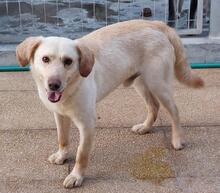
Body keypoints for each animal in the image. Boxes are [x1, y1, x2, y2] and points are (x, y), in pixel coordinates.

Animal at [15, 19, 205, 188]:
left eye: (68, 61)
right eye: (45, 59)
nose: (53, 84)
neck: (71, 87)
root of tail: (155, 24)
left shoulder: (87, 123)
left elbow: (81, 154)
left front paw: (76, 176)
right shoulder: (60, 115)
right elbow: (62, 138)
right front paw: (62, 156)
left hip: (158, 84)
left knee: (174, 110)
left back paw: (177, 139)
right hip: (141, 83)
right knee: (154, 106)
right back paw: (145, 127)